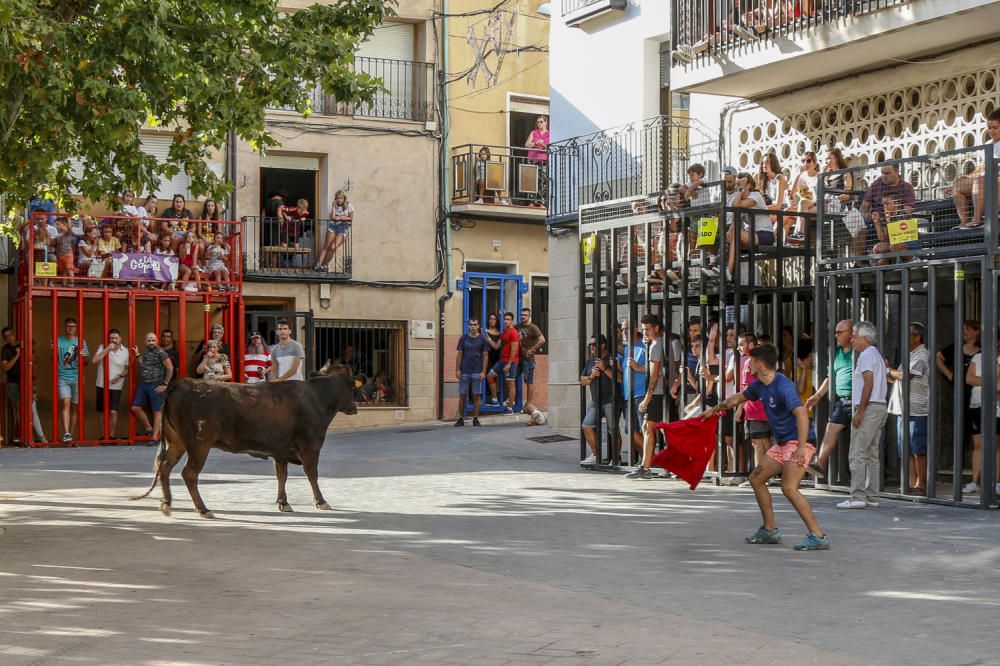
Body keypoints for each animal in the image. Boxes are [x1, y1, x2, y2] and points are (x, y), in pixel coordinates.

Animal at [135, 360, 358, 516]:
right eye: (352, 387)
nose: (354, 408)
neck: (316, 398)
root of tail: (182, 383)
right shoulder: (310, 446)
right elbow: (312, 474)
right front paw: (321, 501)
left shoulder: (280, 451)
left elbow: (282, 475)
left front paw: (283, 503)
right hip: (199, 444)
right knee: (189, 473)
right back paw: (203, 509)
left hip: (177, 441)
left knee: (164, 467)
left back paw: (167, 503)